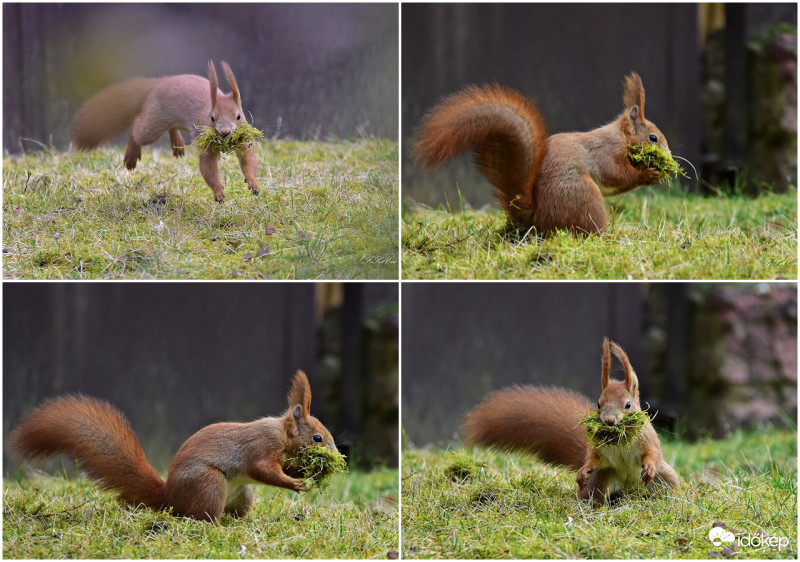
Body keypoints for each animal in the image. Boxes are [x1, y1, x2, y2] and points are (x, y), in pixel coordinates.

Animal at [9, 370, 334, 520]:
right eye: (317, 438)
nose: (337, 454)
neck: (280, 433)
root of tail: (170, 497)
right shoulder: (260, 448)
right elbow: (264, 470)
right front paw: (295, 484)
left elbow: (284, 467)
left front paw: (304, 474)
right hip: (208, 484)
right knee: (200, 517)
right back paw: (215, 524)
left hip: (243, 495)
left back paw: (237, 523)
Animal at [72, 61, 260, 201]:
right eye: (212, 118)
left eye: (238, 116)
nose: (225, 133)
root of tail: (158, 83)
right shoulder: (204, 141)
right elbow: (208, 167)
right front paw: (218, 190)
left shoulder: (244, 142)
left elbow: (248, 160)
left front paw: (253, 182)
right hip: (154, 122)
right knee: (137, 128)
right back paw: (131, 156)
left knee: (172, 127)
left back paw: (177, 145)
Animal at [412, 72, 668, 234]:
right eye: (653, 138)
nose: (669, 155)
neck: (620, 137)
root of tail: (538, 217)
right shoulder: (605, 152)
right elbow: (615, 174)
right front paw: (647, 174)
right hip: (584, 196)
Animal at [462, 334, 680, 500]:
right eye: (598, 404)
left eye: (628, 405)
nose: (609, 421)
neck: (619, 438)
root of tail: (628, 487)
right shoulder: (597, 451)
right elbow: (593, 458)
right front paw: (584, 469)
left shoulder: (648, 438)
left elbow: (653, 453)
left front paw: (649, 466)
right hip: (599, 480)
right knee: (594, 495)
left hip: (665, 479)